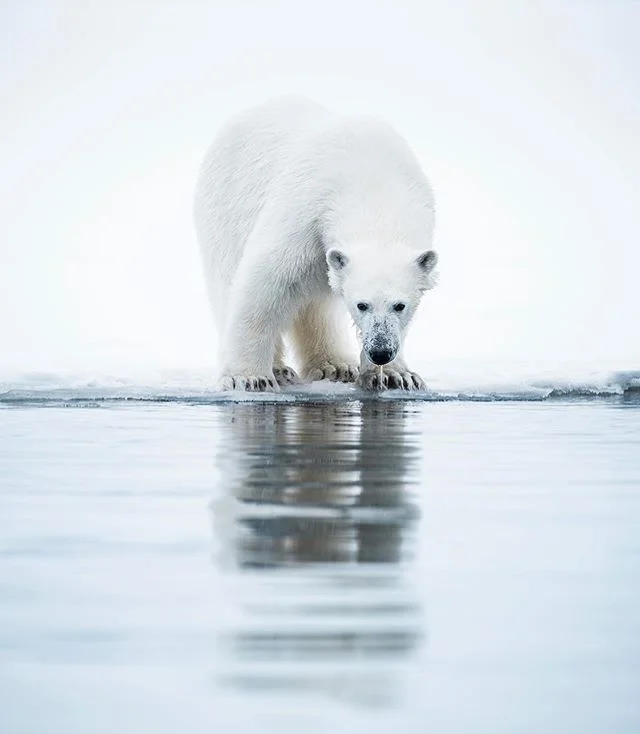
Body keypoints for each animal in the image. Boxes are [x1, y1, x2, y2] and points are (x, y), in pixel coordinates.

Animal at [192, 102, 438, 396]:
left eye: (400, 305)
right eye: (361, 304)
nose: (380, 352)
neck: (374, 187)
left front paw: (396, 376)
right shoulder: (307, 212)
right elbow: (263, 284)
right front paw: (249, 378)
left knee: (318, 306)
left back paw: (335, 366)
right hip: (225, 208)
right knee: (227, 280)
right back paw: (280, 369)